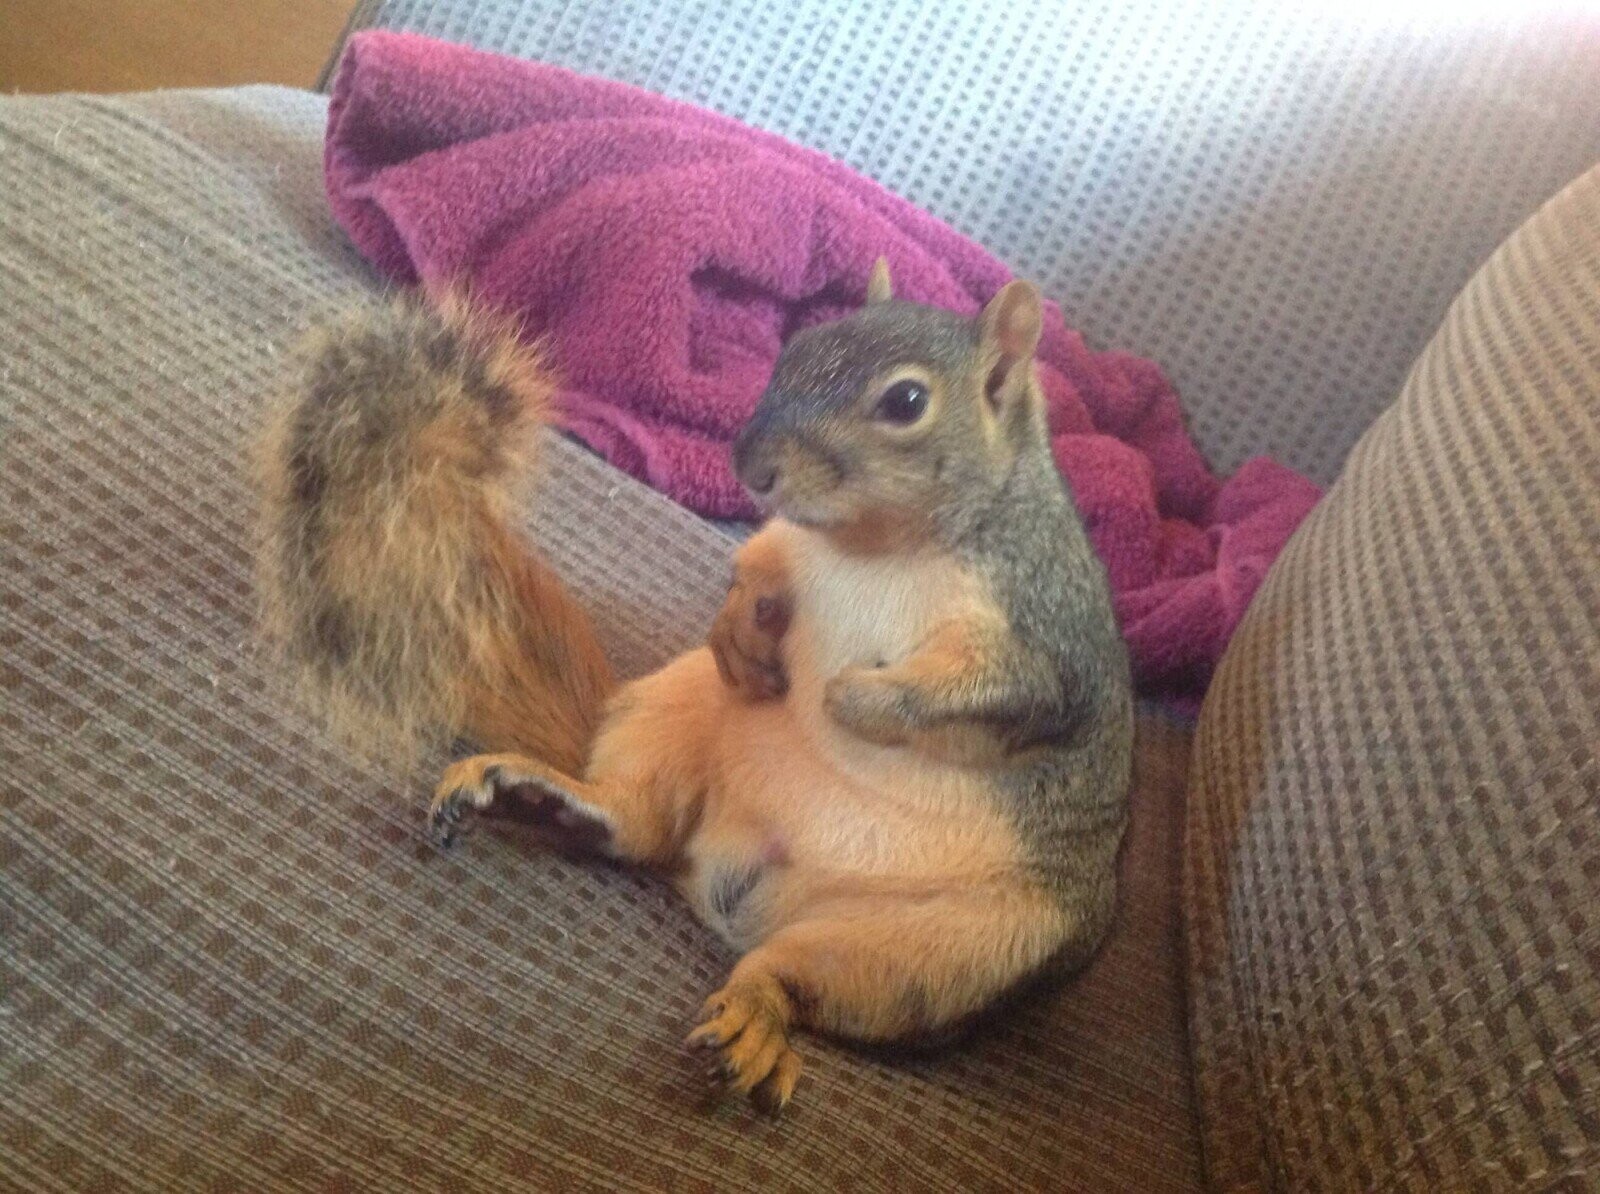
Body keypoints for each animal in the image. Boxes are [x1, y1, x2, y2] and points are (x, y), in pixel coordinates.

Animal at [254, 262, 1134, 1114]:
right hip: (680, 706)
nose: (751, 466)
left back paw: (758, 1013)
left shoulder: (1049, 637)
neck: (875, 550)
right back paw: (545, 796)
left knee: (802, 974)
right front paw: (742, 628)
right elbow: (758, 564)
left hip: (962, 947)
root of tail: (732, 871)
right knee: (638, 826)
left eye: (907, 402)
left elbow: (996, 692)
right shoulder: (786, 545)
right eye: (793, 348)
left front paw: (852, 697)